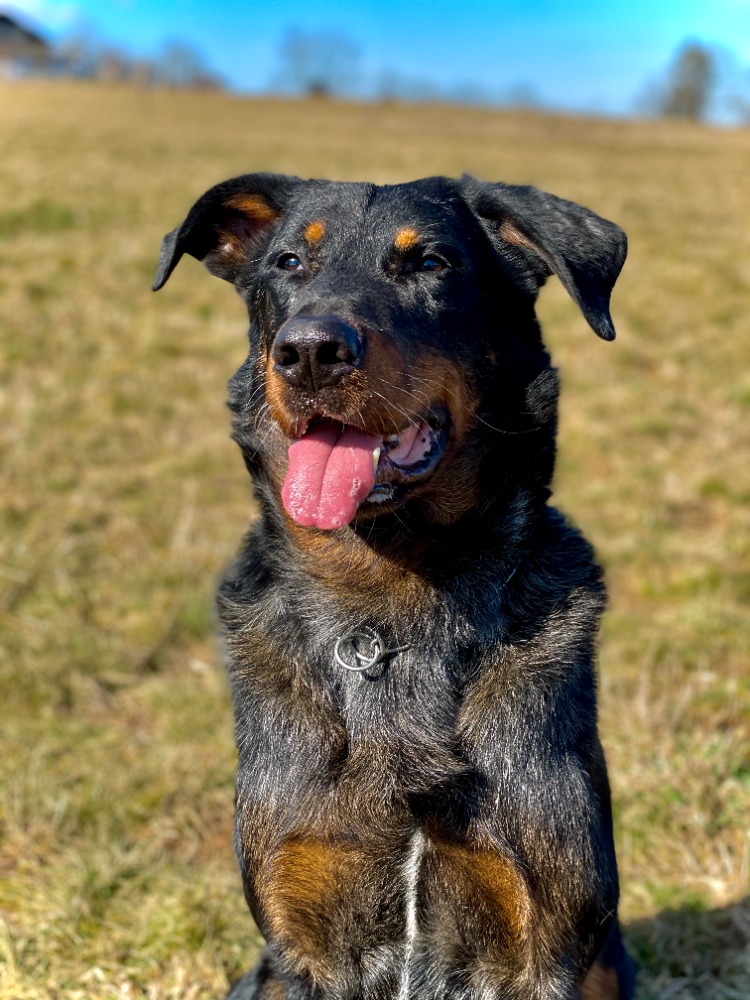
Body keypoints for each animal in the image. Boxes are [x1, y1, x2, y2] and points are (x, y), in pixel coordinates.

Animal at [156, 174, 636, 1000]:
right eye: (288, 262)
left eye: (430, 263)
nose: (310, 352)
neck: (389, 602)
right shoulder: (300, 940)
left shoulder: (541, 941)